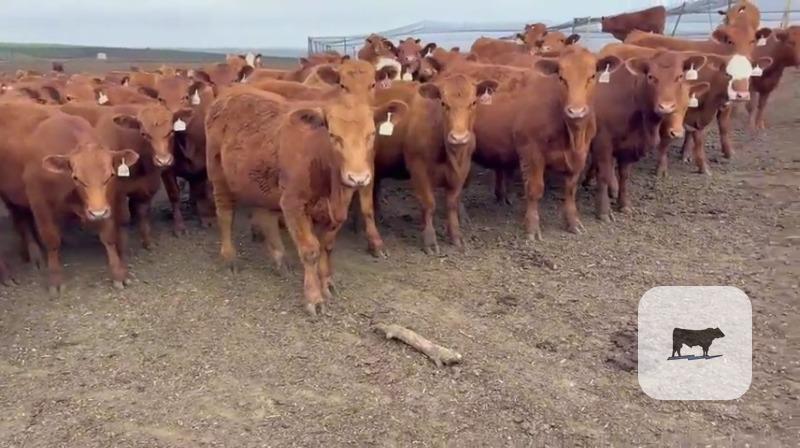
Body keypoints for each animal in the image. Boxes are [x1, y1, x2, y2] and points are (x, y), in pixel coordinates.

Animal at [0, 103, 138, 293]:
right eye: (76, 177)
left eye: (110, 175)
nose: (97, 213)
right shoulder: (39, 201)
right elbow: (51, 239)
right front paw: (55, 280)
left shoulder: (106, 203)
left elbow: (108, 236)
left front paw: (119, 274)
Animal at [356, 75, 498, 255]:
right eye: (443, 103)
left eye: (473, 102)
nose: (458, 138)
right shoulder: (418, 168)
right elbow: (429, 204)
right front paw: (429, 240)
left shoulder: (462, 169)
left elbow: (452, 204)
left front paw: (456, 236)